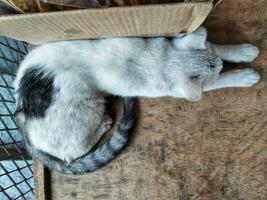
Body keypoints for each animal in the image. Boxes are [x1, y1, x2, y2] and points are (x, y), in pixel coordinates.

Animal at [14, 26, 262, 173]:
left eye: (218, 64)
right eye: (217, 72)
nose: (220, 66)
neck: (161, 60)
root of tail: (22, 117)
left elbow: (219, 48)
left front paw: (241, 52)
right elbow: (217, 83)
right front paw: (243, 75)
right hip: (89, 107)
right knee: (70, 154)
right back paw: (104, 124)